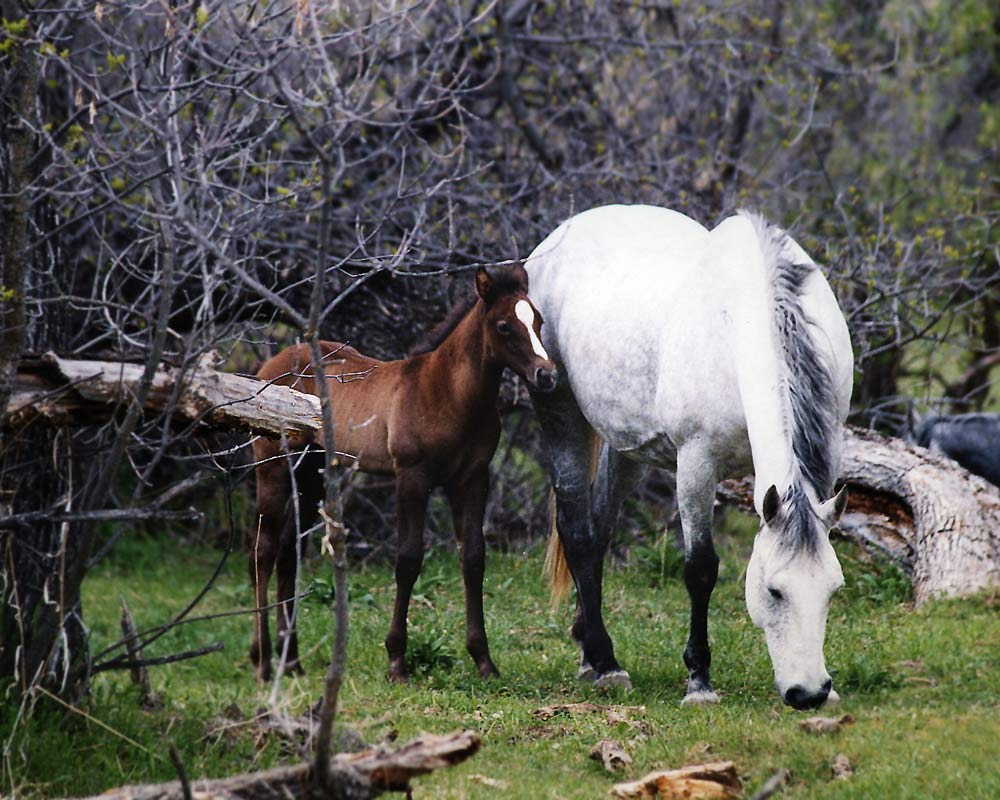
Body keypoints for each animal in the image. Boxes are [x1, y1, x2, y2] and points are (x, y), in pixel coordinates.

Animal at [250, 266, 560, 684]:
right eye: (503, 326)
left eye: (538, 321)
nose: (547, 376)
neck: (448, 392)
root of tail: (269, 366)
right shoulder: (411, 476)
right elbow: (409, 559)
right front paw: (397, 660)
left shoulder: (472, 479)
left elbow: (474, 558)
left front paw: (483, 660)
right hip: (273, 468)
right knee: (263, 552)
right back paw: (263, 661)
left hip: (310, 471)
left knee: (287, 552)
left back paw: (292, 660)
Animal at [524, 205, 852, 708]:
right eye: (774, 591)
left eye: (833, 590)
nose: (810, 693)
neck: (736, 322)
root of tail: (556, 239)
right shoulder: (696, 463)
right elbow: (701, 568)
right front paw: (699, 681)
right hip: (559, 411)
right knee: (577, 531)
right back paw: (607, 663)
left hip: (627, 449)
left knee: (598, 532)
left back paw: (588, 653)